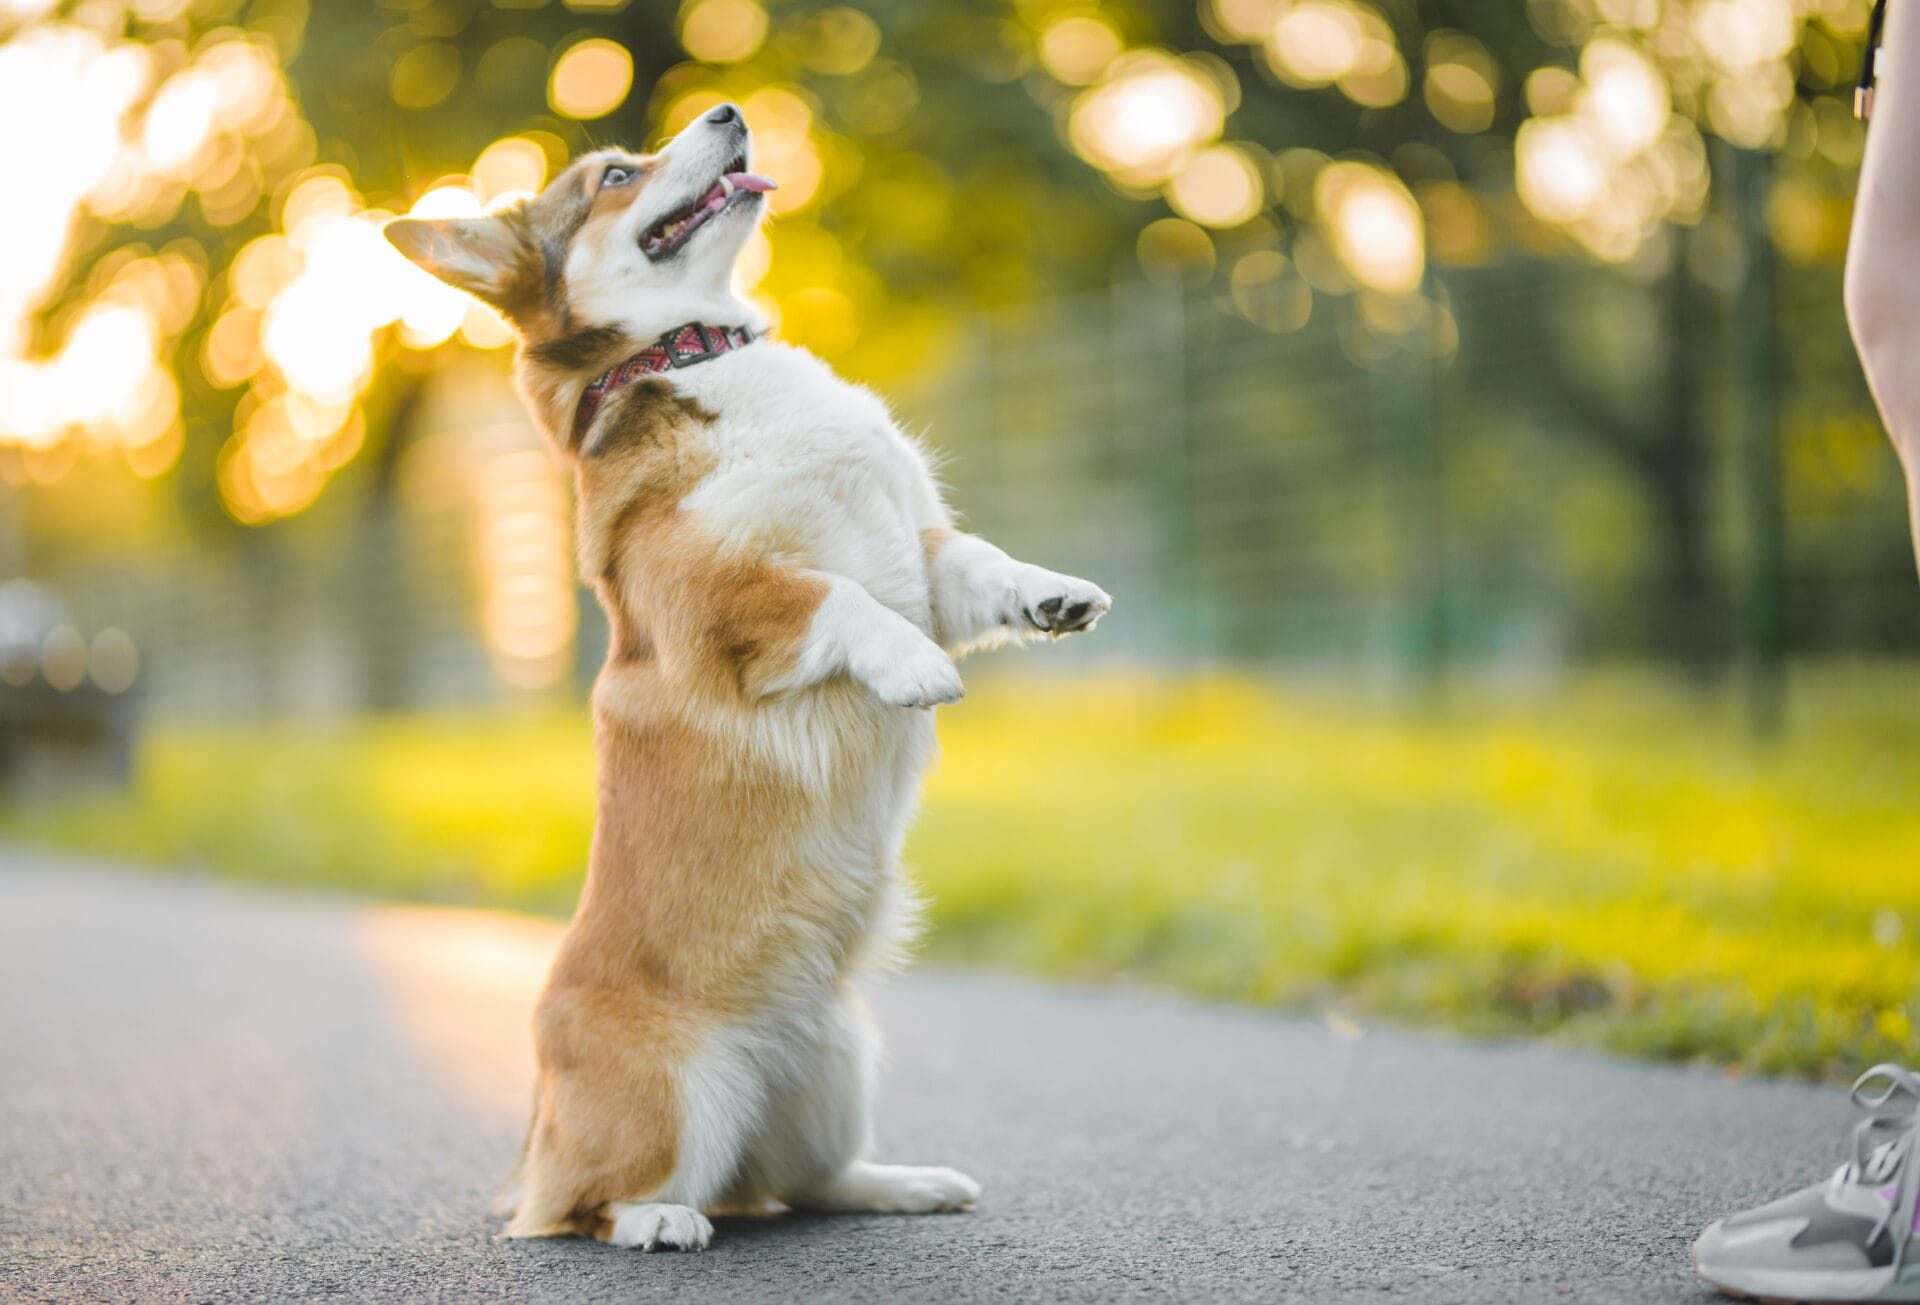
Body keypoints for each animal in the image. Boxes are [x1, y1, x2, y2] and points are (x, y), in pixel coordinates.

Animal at [385, 104, 1113, 1251]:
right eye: (615, 174)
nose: (729, 111)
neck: (698, 354)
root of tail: (536, 1130)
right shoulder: (722, 600)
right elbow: (839, 600)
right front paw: (913, 667)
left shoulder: (923, 556)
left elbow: (979, 564)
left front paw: (1055, 596)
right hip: (683, 1090)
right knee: (586, 1206)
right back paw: (656, 1220)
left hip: (840, 1063)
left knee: (808, 1182)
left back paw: (906, 1182)